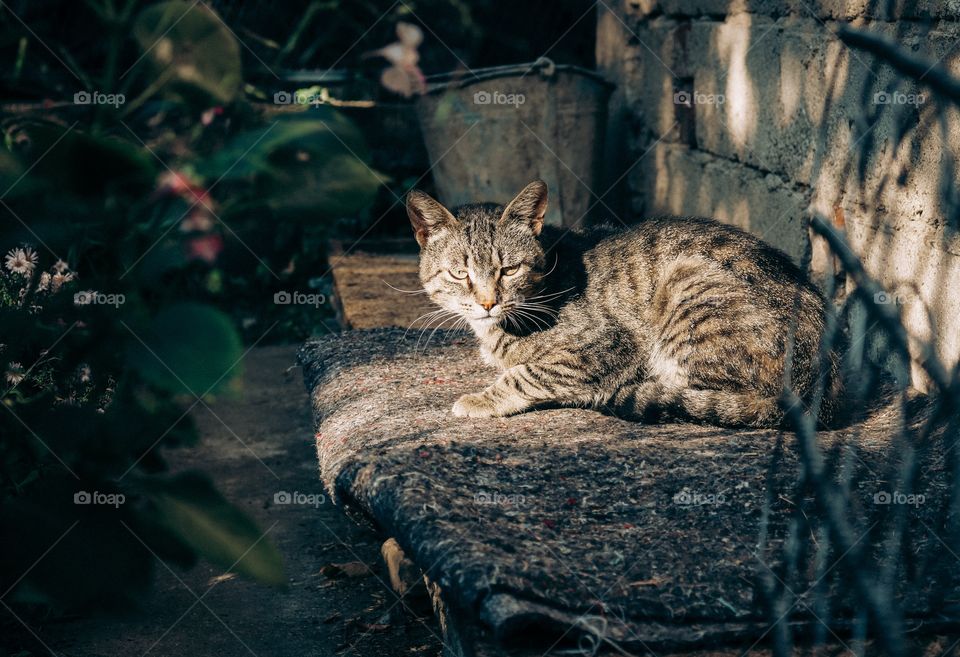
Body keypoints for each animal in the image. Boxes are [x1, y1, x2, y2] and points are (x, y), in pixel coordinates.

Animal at [404, 179, 840, 428]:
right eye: (459, 273)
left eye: (509, 269)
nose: (488, 302)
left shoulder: (605, 345)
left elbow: (525, 373)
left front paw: (481, 398)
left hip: (687, 283)